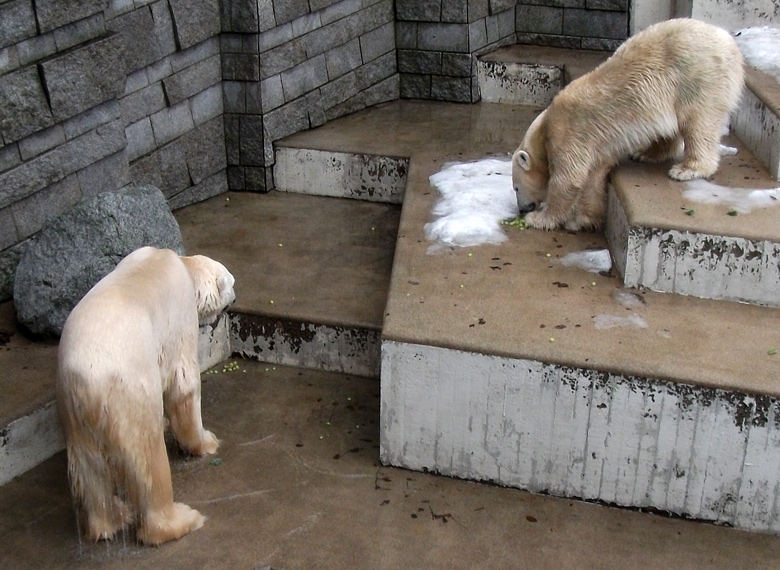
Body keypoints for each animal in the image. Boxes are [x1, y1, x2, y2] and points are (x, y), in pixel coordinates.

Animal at [57, 246, 235, 544]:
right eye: (231, 284)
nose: (235, 299)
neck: (174, 260)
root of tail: (89, 382)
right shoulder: (180, 313)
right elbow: (183, 384)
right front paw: (206, 441)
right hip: (128, 395)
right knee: (149, 460)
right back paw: (180, 521)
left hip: (73, 411)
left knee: (87, 467)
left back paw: (110, 519)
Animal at [512, 18, 744, 230]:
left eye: (515, 187)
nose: (522, 209)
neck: (543, 129)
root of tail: (729, 43)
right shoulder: (595, 146)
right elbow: (593, 177)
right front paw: (583, 220)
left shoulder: (566, 131)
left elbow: (569, 179)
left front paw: (539, 219)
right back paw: (646, 154)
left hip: (697, 75)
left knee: (699, 122)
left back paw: (687, 169)